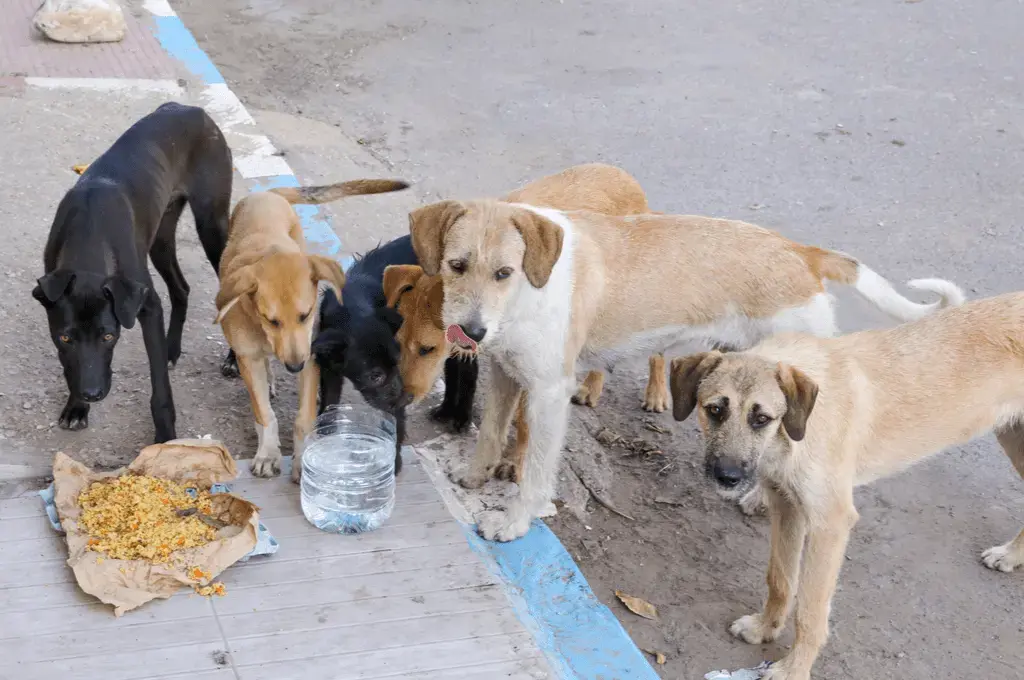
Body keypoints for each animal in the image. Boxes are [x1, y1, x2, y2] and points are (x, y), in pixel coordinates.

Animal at [33, 100, 233, 440]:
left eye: (108, 336)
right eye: (65, 338)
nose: (92, 394)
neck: (89, 232)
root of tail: (191, 108)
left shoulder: (147, 305)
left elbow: (159, 387)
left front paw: (165, 435)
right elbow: (71, 366)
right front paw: (75, 407)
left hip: (212, 227)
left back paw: (233, 359)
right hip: (161, 238)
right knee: (181, 288)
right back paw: (171, 349)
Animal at [309, 236, 413, 475]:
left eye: (397, 363)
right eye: (374, 376)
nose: (406, 399)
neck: (354, 305)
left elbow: (396, 423)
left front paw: (394, 460)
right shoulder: (329, 368)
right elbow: (329, 401)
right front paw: (325, 435)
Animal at [411, 197, 962, 540]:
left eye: (504, 272)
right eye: (456, 266)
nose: (471, 333)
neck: (529, 289)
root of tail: (800, 252)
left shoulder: (548, 393)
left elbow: (534, 472)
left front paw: (514, 523)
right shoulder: (506, 373)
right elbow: (489, 433)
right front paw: (475, 477)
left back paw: (760, 499)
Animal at [663, 290, 1024, 680]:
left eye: (761, 419)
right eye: (714, 410)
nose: (727, 476)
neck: (796, 427)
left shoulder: (830, 524)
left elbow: (810, 611)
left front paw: (794, 669)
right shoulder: (787, 506)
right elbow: (781, 580)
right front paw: (765, 628)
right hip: (1013, 437)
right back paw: (1013, 555)